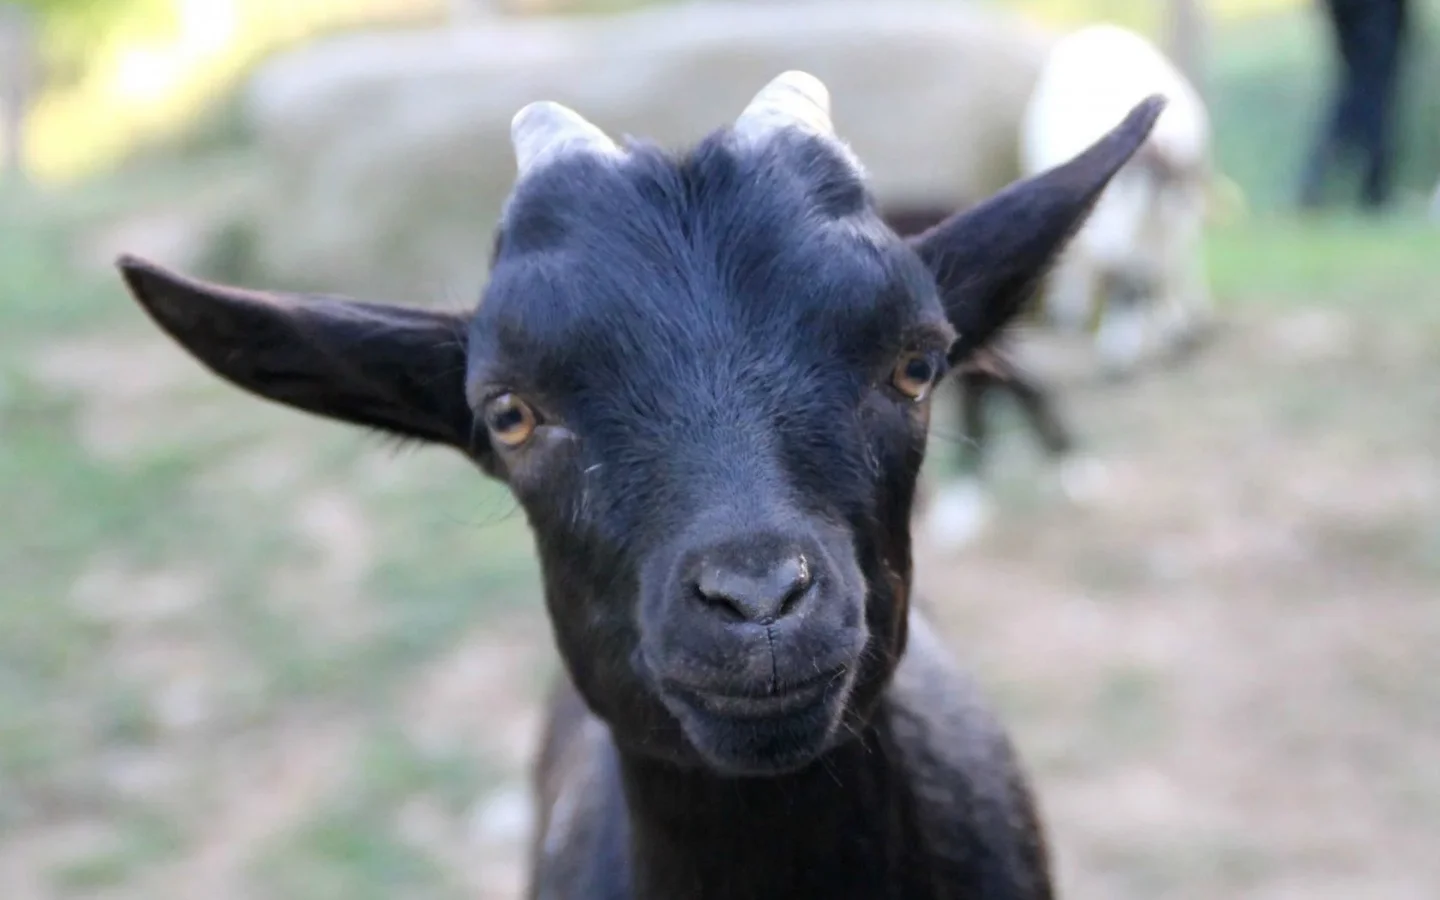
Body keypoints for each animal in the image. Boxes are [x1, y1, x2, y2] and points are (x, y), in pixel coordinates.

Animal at [1021, 23, 1213, 378]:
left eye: (1146, 187)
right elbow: (1127, 276)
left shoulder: (1170, 219)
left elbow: (1148, 275)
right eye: (1109, 196)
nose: (1113, 248)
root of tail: (1100, 29)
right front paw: (1118, 352)